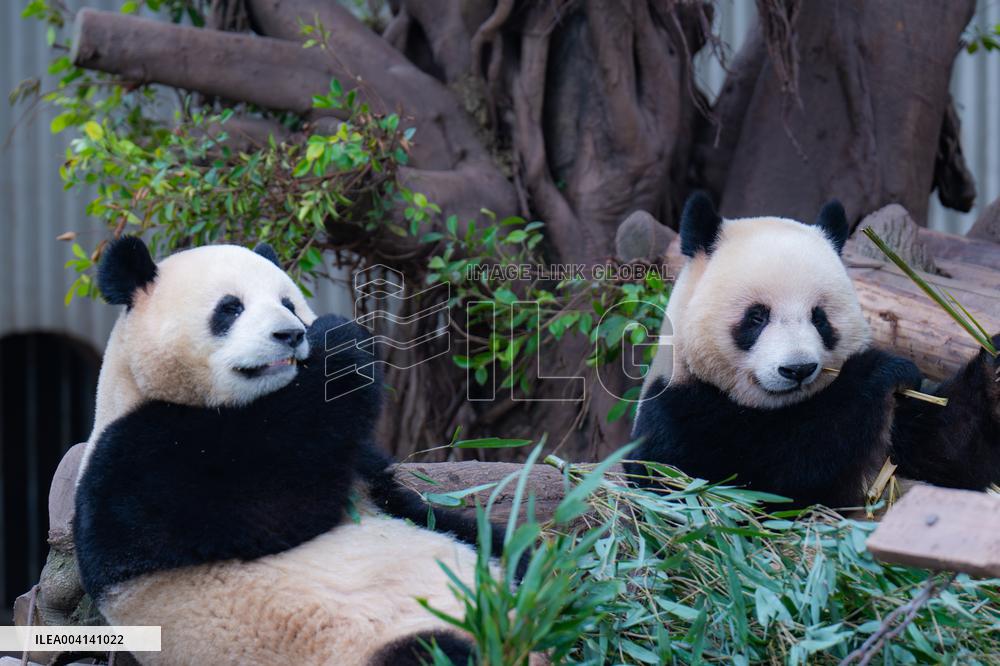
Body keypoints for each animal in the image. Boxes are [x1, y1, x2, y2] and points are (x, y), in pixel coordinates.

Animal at [74, 237, 505, 666]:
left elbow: (404, 499)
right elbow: (274, 499)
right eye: (230, 308)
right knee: (436, 650)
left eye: (289, 303)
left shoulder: (367, 476)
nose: (291, 335)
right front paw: (341, 340)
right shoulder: (136, 465)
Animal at [627, 193, 1000, 508]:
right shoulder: (678, 417)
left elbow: (949, 454)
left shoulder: (898, 428)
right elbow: (763, 482)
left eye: (820, 318)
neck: (780, 408)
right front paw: (880, 369)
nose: (798, 369)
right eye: (757, 317)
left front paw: (994, 364)